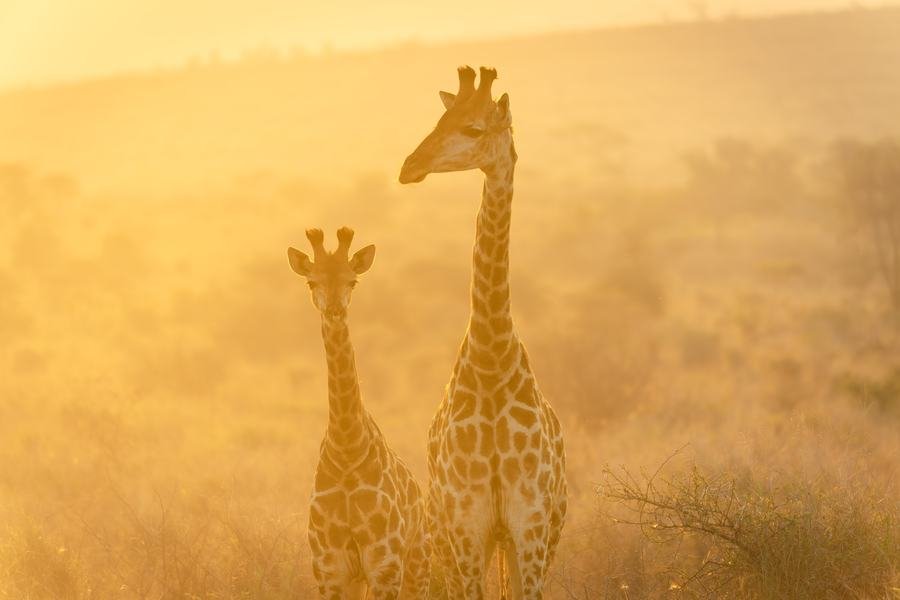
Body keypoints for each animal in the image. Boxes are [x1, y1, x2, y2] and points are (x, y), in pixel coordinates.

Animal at [288, 227, 430, 600]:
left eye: (352, 280)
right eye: (311, 281)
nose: (335, 309)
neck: (347, 446)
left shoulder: (384, 563)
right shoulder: (330, 567)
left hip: (417, 563)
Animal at [398, 67, 567, 599]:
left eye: (473, 128)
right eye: (440, 117)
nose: (409, 166)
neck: (492, 357)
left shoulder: (529, 524)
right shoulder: (467, 525)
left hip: (535, 534)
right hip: (447, 536)